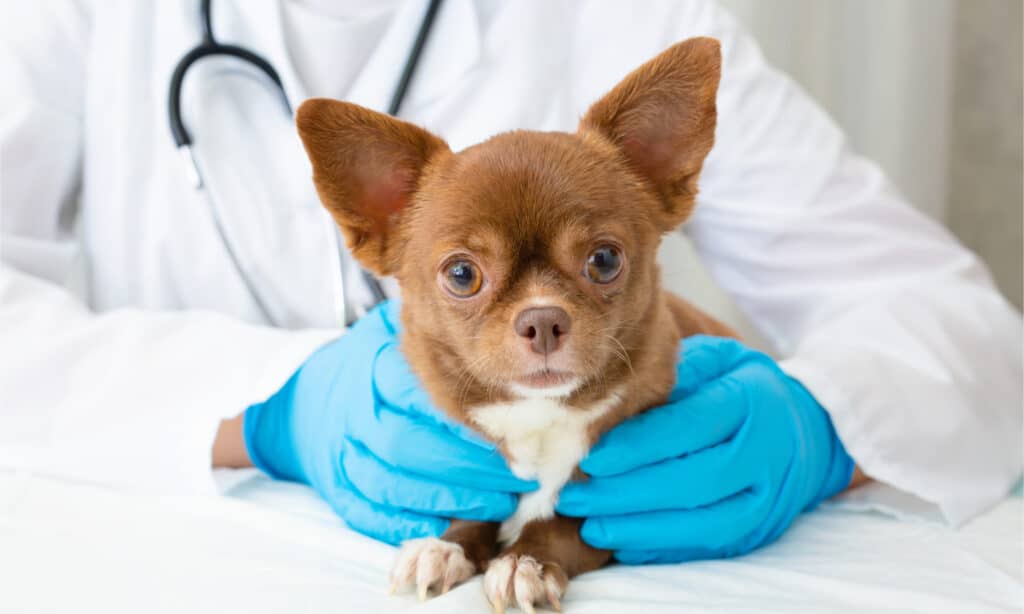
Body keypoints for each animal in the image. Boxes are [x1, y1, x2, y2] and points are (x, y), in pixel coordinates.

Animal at [296, 36, 737, 609]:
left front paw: (525, 559)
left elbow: (571, 520)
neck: (540, 414)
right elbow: (474, 505)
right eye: (462, 274)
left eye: (604, 261)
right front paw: (445, 544)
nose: (543, 318)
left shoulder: (618, 496)